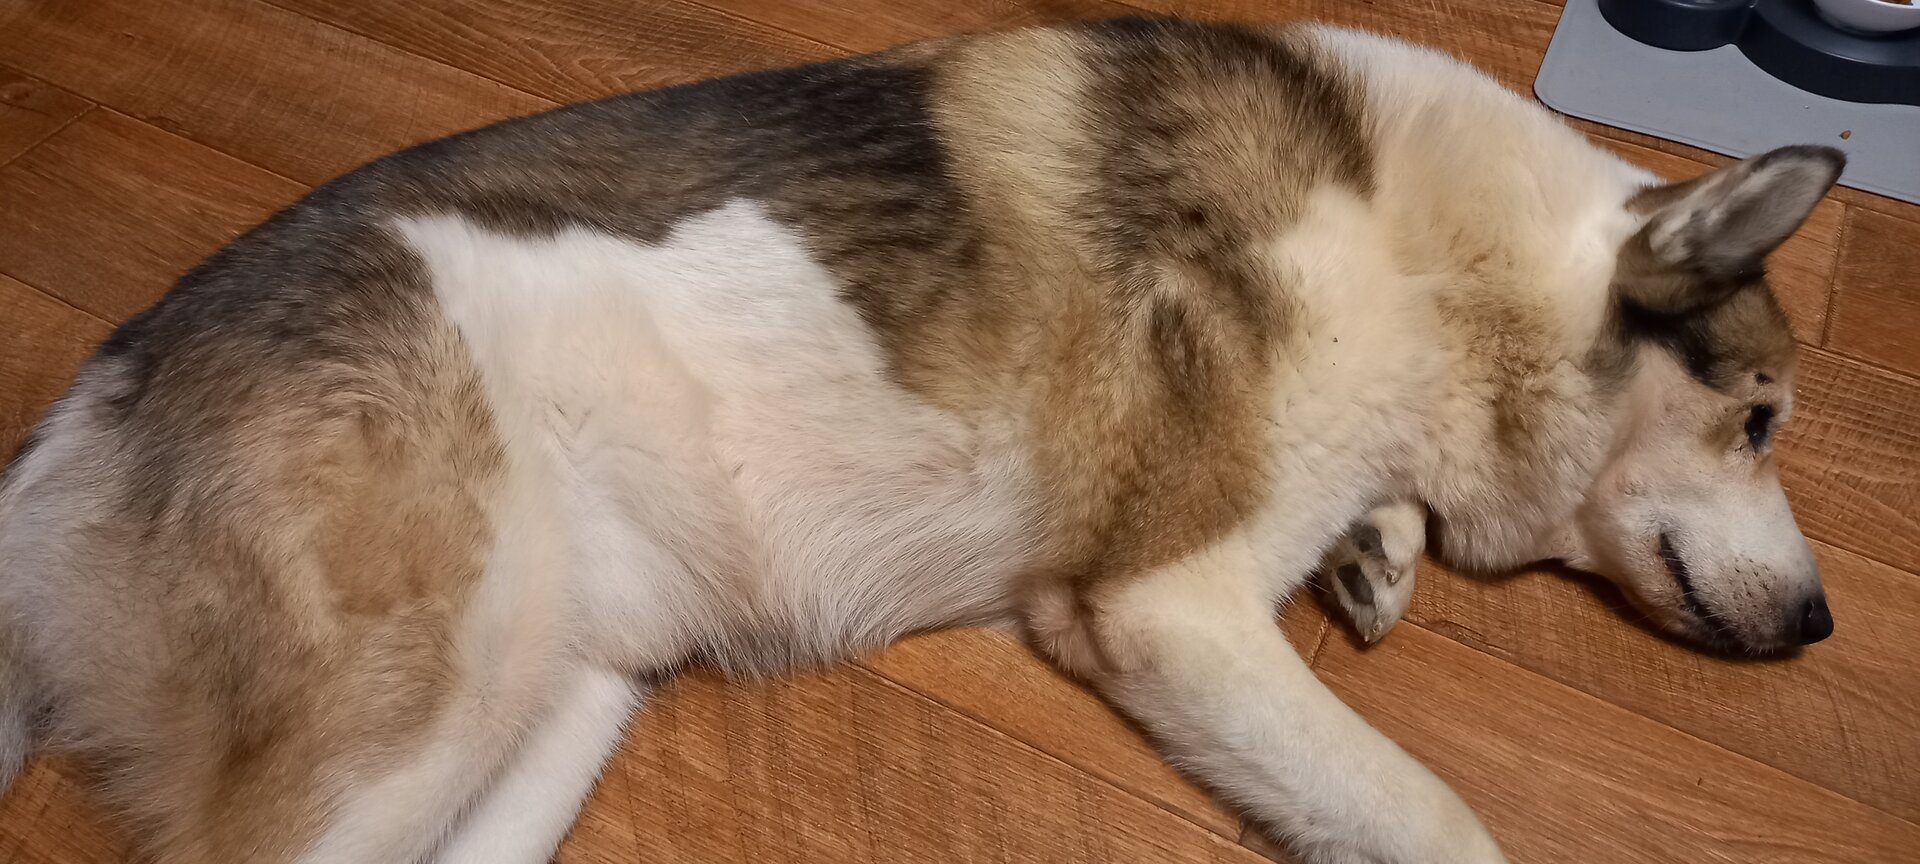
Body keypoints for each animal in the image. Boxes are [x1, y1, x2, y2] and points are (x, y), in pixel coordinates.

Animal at [0, 16, 1841, 864]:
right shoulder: (1159, 607)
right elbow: (1438, 817)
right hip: (412, 721)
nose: (1829, 622)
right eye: (1760, 420)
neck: (1443, 252)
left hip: (555, 709)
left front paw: (1377, 544)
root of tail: (98, 388)